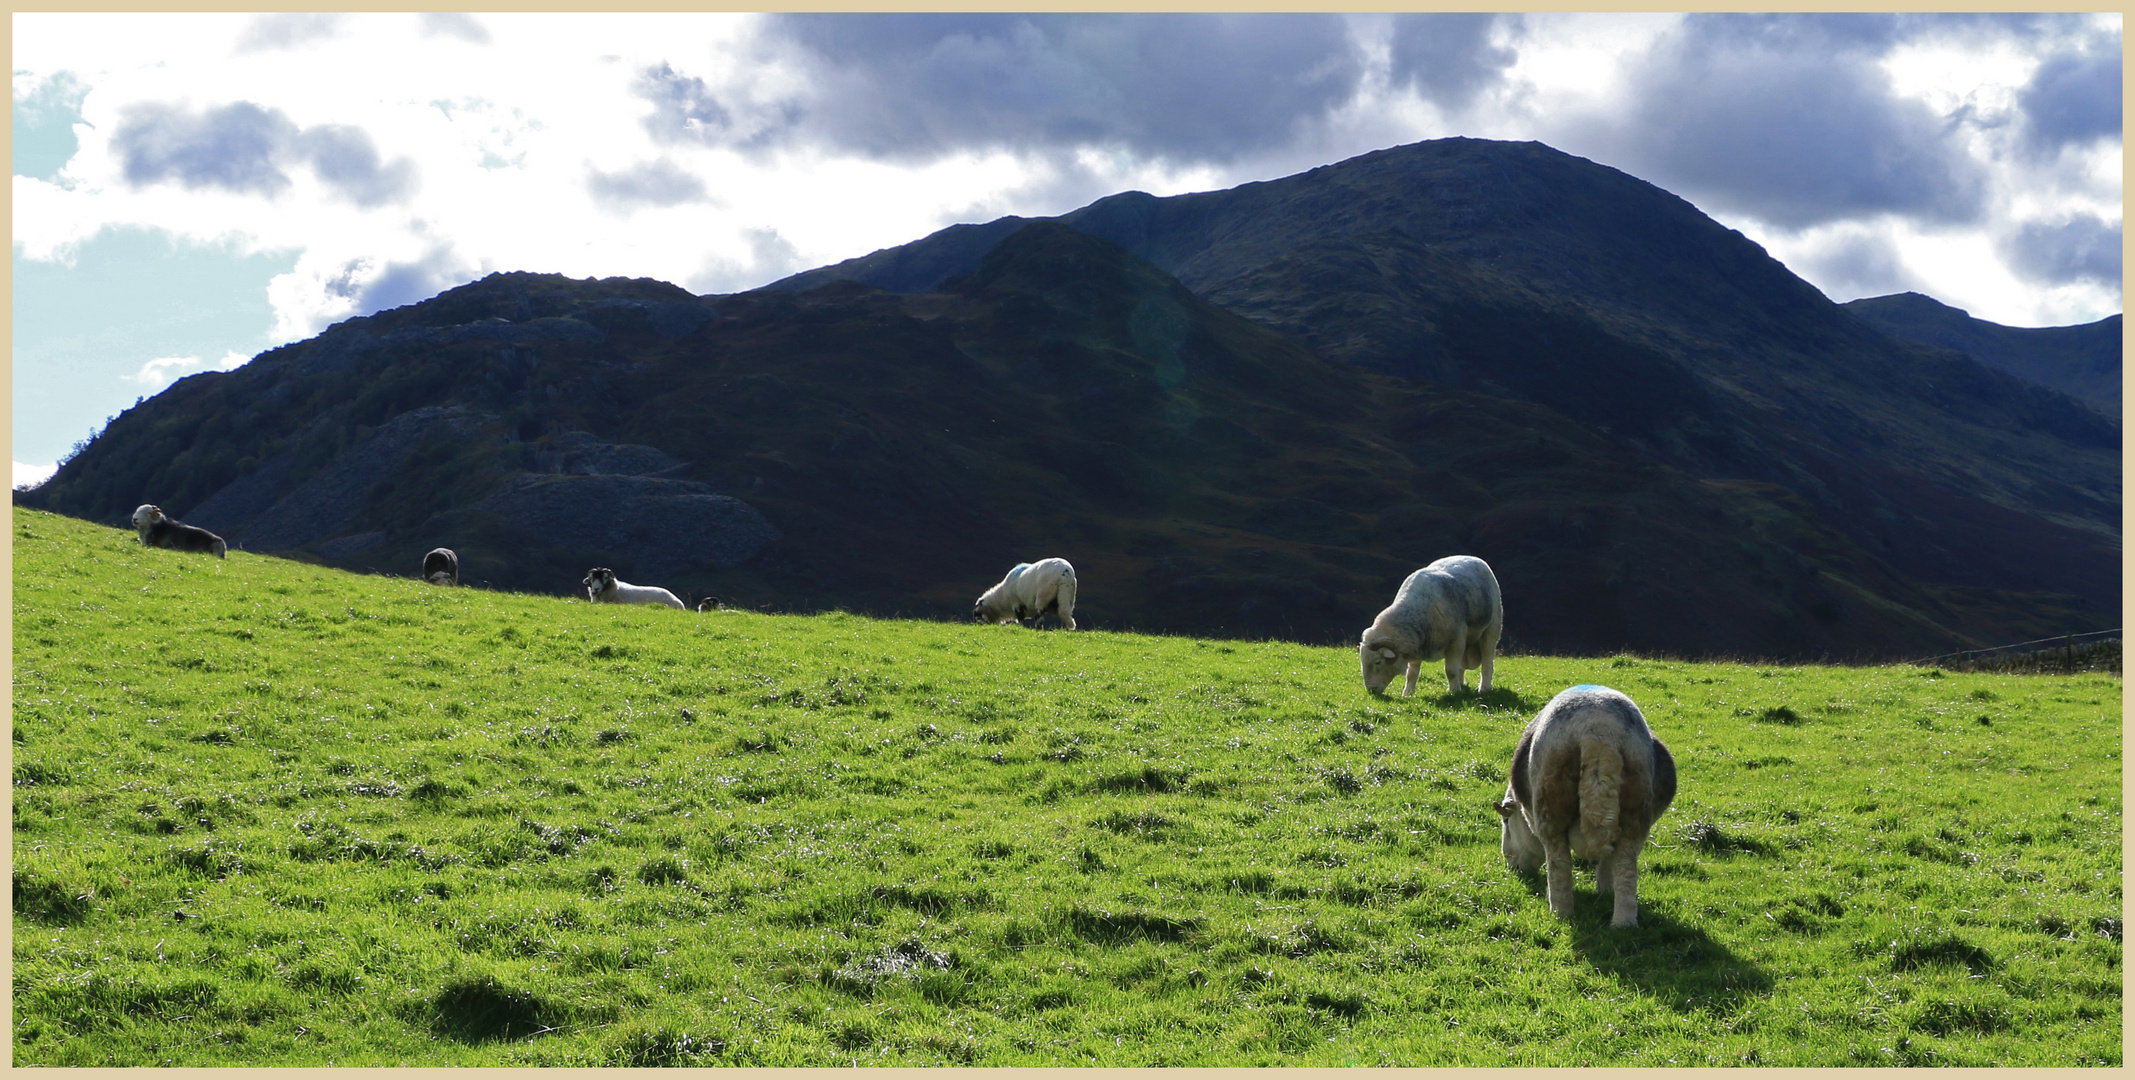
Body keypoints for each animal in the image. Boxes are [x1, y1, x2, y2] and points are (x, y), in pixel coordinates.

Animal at [1357, 550, 1511, 695]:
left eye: (1378, 662)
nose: (1371, 690)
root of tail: (1474, 558)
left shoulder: (1455, 643)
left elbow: (1451, 671)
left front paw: (1454, 692)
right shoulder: (1416, 644)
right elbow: (1411, 674)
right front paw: (1407, 694)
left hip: (1491, 629)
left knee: (1487, 661)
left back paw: (1484, 688)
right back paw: (1462, 684)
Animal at [1494, 683, 1673, 926]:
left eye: (1505, 821)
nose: (1513, 868)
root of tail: (1597, 730)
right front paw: (1604, 893)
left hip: (1550, 807)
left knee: (1559, 864)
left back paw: (1560, 913)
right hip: (1635, 810)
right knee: (1625, 866)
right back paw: (1623, 922)